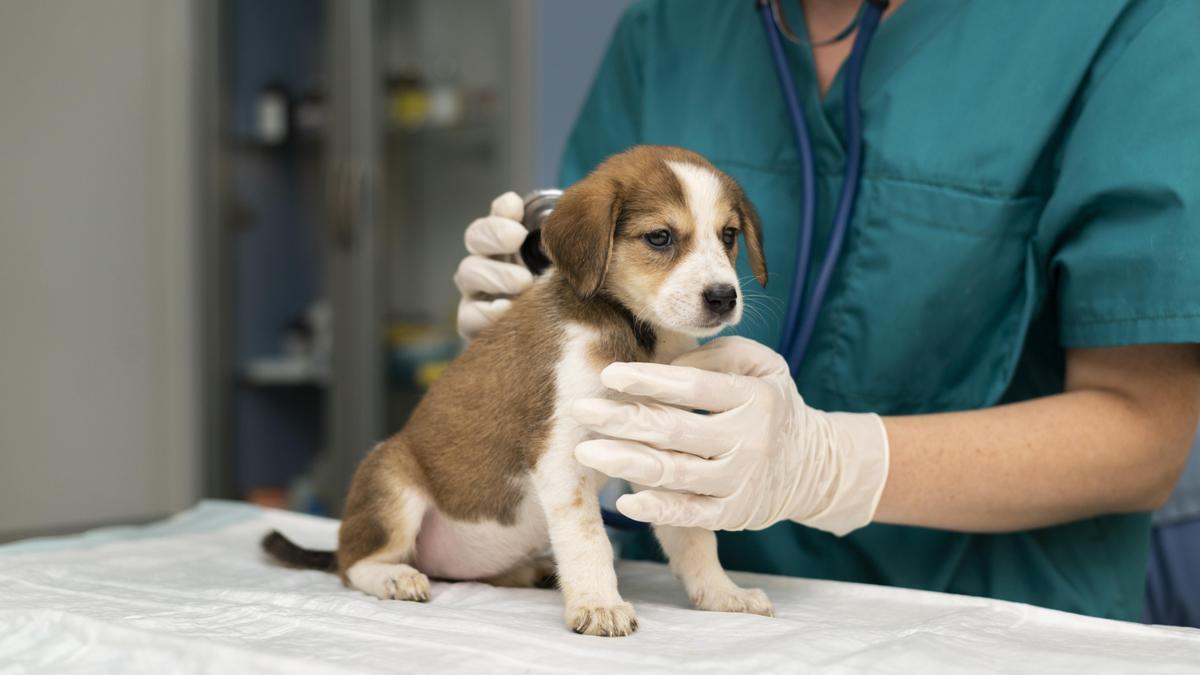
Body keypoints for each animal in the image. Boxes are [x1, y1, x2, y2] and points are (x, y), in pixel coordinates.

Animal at [260, 144, 768, 634]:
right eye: (660, 237)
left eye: (728, 236)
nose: (723, 297)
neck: (635, 333)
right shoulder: (560, 457)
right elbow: (590, 541)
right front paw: (599, 604)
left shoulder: (660, 452)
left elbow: (693, 537)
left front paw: (721, 593)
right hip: (390, 479)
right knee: (353, 563)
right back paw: (394, 577)